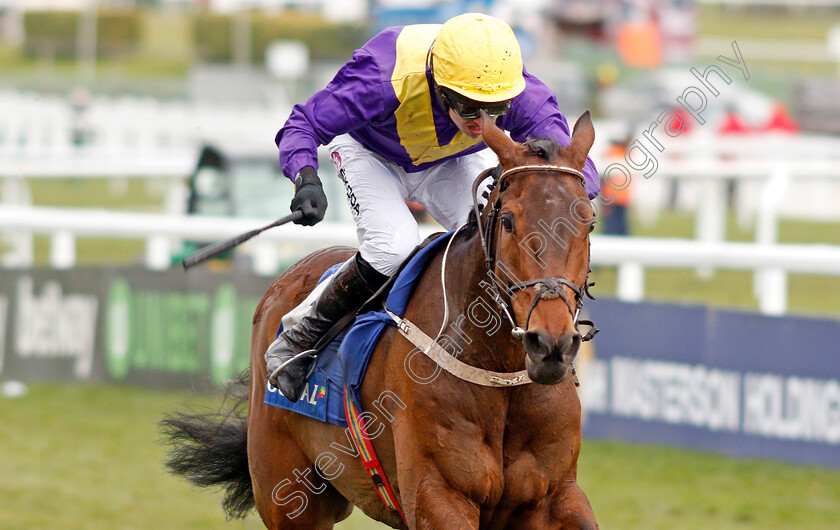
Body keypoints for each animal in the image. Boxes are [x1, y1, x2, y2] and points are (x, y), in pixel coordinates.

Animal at [162, 109, 596, 524]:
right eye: (508, 222)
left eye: (589, 222)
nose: (551, 344)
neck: (499, 374)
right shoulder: (438, 495)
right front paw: (309, 196)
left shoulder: (556, 496)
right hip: (289, 495)